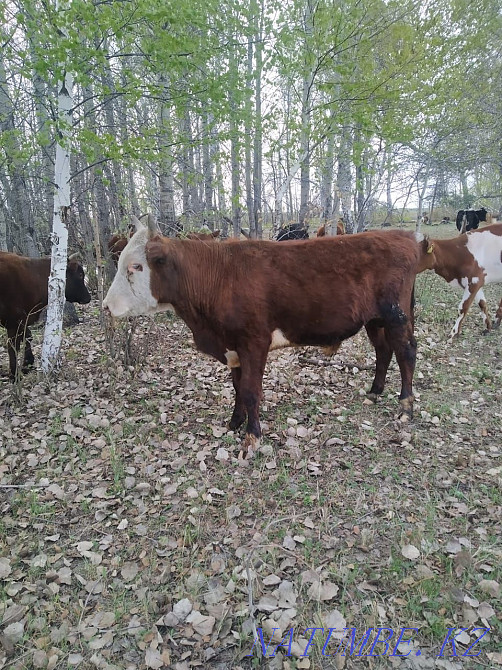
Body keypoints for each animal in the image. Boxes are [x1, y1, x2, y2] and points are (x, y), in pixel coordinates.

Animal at [103, 215, 430, 456]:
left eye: (136, 266)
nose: (106, 305)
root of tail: (405, 237)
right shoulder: (233, 346)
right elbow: (237, 388)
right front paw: (235, 423)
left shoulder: (254, 342)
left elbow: (251, 390)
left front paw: (252, 437)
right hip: (374, 319)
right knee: (383, 350)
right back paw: (374, 392)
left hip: (396, 315)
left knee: (406, 352)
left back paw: (405, 408)